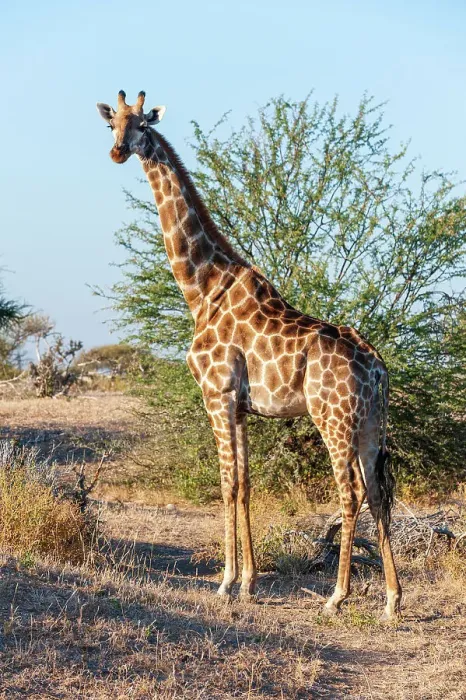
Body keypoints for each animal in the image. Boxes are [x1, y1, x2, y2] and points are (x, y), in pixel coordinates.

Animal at [97, 90, 402, 619]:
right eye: (112, 122)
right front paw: (249, 582)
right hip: (370, 423)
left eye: (142, 125)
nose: (118, 152)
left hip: (333, 418)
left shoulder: (215, 395)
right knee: (379, 491)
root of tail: (379, 368)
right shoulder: (240, 406)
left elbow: (226, 483)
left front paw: (225, 582)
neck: (201, 289)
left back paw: (337, 597)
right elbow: (244, 482)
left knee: (351, 492)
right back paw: (391, 600)